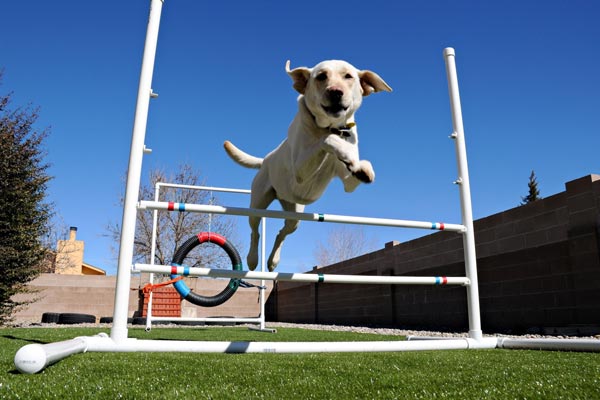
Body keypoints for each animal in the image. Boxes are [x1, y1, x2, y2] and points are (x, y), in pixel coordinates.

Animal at [223, 59, 392, 272]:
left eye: (348, 76)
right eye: (321, 76)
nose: (335, 92)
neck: (330, 126)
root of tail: (266, 159)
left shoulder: (348, 183)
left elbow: (358, 167)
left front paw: (361, 168)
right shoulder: (300, 170)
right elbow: (327, 140)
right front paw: (344, 152)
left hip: (295, 215)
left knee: (281, 233)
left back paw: (273, 261)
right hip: (258, 204)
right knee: (255, 230)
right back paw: (253, 259)